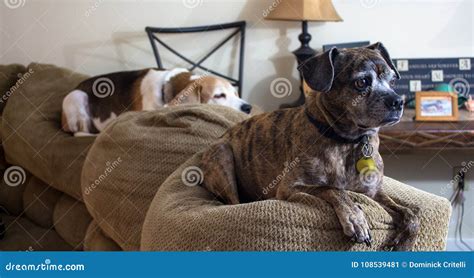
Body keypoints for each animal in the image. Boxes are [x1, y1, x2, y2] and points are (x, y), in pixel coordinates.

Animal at [200, 42, 418, 251]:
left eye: (393, 81)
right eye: (361, 82)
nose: (398, 101)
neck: (348, 142)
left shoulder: (373, 193)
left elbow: (411, 214)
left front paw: (403, 244)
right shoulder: (289, 187)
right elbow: (332, 189)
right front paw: (354, 218)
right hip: (222, 155)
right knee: (233, 202)